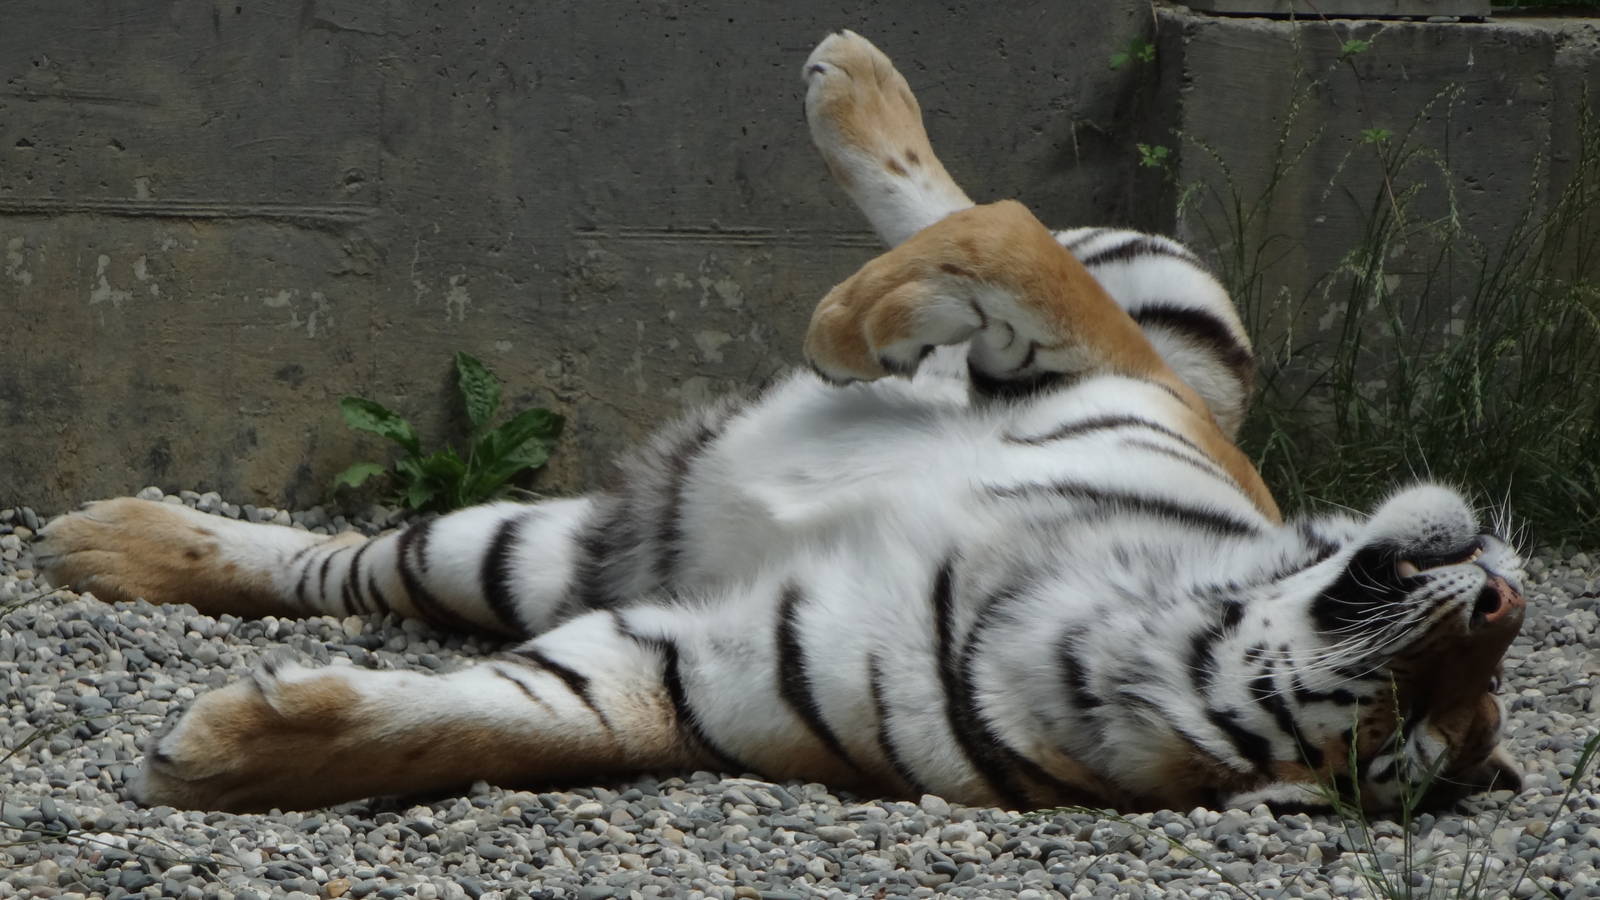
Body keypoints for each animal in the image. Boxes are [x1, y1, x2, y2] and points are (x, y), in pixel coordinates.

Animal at [33, 30, 1524, 816]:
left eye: (1412, 727)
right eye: (1456, 675)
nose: (1505, 593)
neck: (1118, 611)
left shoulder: (685, 674)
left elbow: (480, 727)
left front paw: (213, 758)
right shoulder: (1121, 381)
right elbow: (1005, 238)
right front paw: (851, 329)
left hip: (532, 556)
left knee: (354, 567)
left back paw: (100, 549)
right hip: (1186, 299)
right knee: (1004, 223)